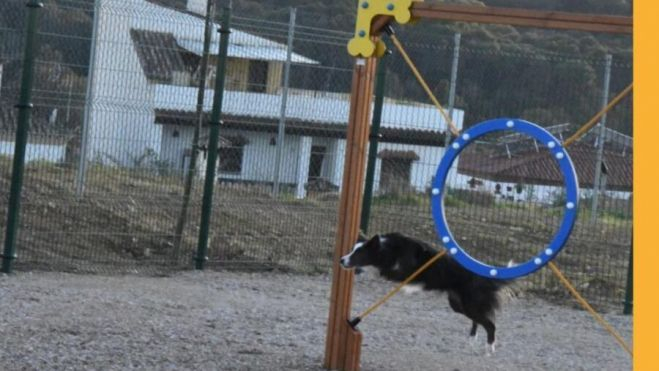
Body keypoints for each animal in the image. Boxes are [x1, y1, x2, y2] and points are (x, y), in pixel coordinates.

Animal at [340, 232, 516, 354]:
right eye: (351, 250)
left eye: (358, 253)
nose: (341, 260)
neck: (389, 250)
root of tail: (484, 276)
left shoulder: (401, 272)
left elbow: (381, 271)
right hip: (459, 305)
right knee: (479, 320)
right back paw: (472, 339)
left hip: (470, 304)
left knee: (490, 324)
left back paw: (489, 348)